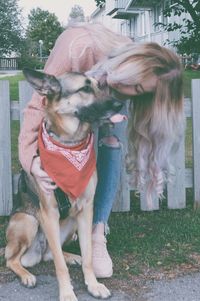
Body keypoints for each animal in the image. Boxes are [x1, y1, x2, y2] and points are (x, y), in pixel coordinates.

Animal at [5, 68, 123, 300]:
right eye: (85, 88)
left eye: (99, 86)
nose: (120, 104)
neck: (70, 144)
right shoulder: (49, 212)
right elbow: (60, 267)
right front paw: (67, 293)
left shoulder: (86, 210)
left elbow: (88, 256)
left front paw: (93, 284)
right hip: (29, 221)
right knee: (12, 259)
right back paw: (27, 276)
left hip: (72, 224)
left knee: (51, 253)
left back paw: (72, 256)